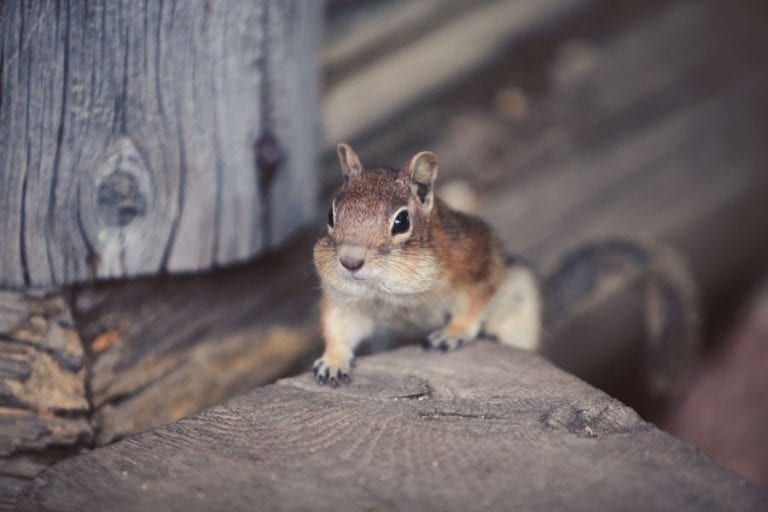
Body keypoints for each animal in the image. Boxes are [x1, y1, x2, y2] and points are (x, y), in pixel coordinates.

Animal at [313, 143, 698, 394]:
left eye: (401, 221)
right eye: (331, 214)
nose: (350, 261)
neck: (390, 292)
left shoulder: (476, 264)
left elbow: (475, 302)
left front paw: (454, 332)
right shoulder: (346, 300)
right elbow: (338, 326)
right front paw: (332, 360)